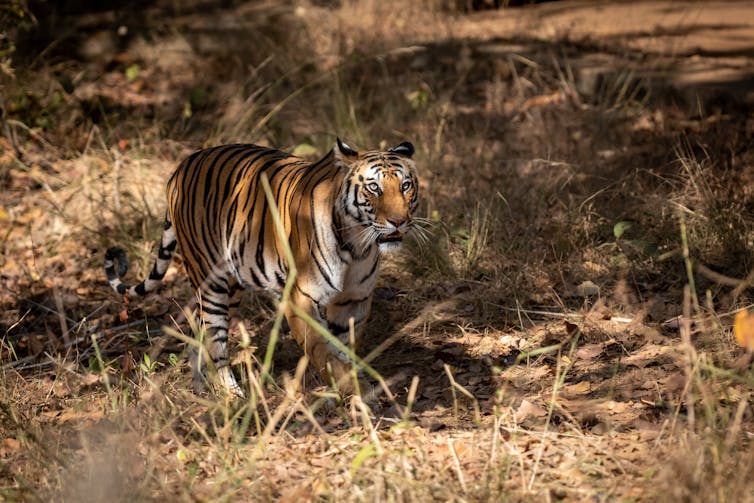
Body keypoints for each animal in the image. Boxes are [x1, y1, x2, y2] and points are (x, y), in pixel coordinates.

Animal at [101, 138, 418, 398]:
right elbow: (325, 352)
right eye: (374, 187)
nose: (398, 221)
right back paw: (231, 394)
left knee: (199, 335)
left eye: (405, 186)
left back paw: (202, 388)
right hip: (210, 280)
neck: (357, 245)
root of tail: (181, 166)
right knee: (215, 341)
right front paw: (357, 391)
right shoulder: (302, 300)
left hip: (233, 284)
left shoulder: (353, 302)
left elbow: (341, 349)